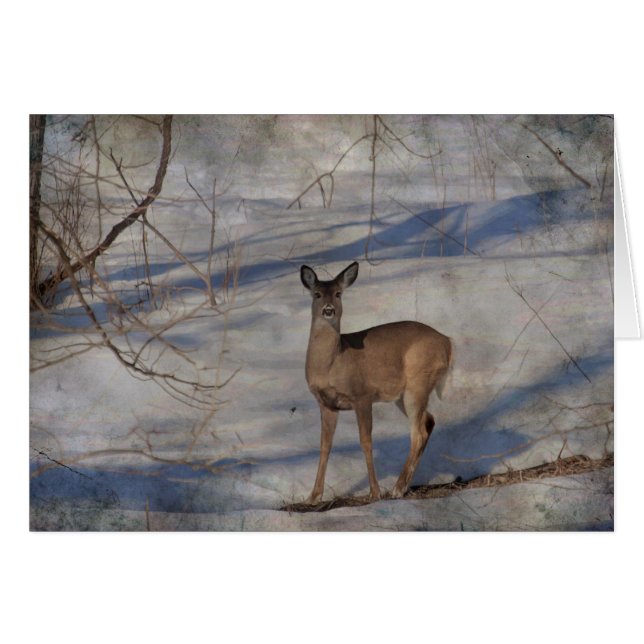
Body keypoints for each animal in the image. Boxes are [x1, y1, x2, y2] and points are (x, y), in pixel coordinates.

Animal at [300, 261, 452, 504]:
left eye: (338, 293)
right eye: (317, 294)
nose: (328, 310)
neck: (332, 364)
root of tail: (448, 342)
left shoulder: (362, 396)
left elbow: (366, 441)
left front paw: (374, 492)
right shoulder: (326, 403)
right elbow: (325, 446)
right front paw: (314, 496)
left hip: (418, 382)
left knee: (417, 432)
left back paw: (397, 489)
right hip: (402, 394)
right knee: (428, 421)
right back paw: (403, 486)